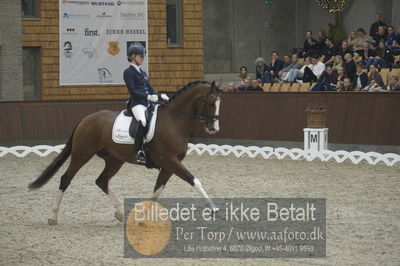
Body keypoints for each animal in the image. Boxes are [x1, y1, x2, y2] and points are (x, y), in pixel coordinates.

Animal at [28, 80, 222, 224]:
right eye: (211, 102)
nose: (214, 128)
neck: (174, 121)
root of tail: (86, 119)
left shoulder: (169, 166)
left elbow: (157, 191)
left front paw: (142, 216)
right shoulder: (170, 161)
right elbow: (194, 181)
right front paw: (214, 209)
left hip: (115, 160)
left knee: (101, 181)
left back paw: (120, 213)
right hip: (81, 155)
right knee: (66, 179)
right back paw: (53, 217)